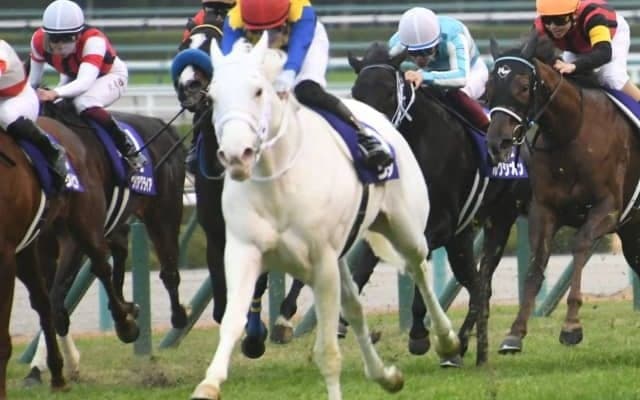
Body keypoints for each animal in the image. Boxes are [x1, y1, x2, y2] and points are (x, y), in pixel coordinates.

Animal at [23, 103, 188, 383]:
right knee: (120, 250)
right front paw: (44, 368)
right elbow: (52, 301)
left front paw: (126, 325)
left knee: (168, 271)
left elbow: (58, 297)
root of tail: (162, 125)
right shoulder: (43, 245)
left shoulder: (74, 238)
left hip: (164, 212)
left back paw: (177, 315)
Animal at [189, 33, 460, 400]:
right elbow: (232, 320)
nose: (235, 155)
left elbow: (328, 352)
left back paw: (445, 341)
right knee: (356, 307)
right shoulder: (243, 251)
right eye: (212, 97)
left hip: (406, 229)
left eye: (258, 91)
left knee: (419, 269)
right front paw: (209, 383)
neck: (278, 181)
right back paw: (386, 376)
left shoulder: (322, 262)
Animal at [348, 42, 531, 365]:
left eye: (387, 93)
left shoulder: (441, 226)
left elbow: (419, 265)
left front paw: (419, 335)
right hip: (463, 235)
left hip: (500, 219)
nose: (367, 145)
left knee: (482, 285)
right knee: (476, 283)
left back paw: (462, 346)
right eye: (356, 94)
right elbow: (363, 266)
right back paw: (464, 345)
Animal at [485, 33, 640, 354]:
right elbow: (536, 263)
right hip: (633, 232)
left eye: (523, 87)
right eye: (489, 88)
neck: (571, 132)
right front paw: (515, 333)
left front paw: (571, 326)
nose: (498, 143)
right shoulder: (544, 210)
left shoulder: (607, 208)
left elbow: (580, 245)